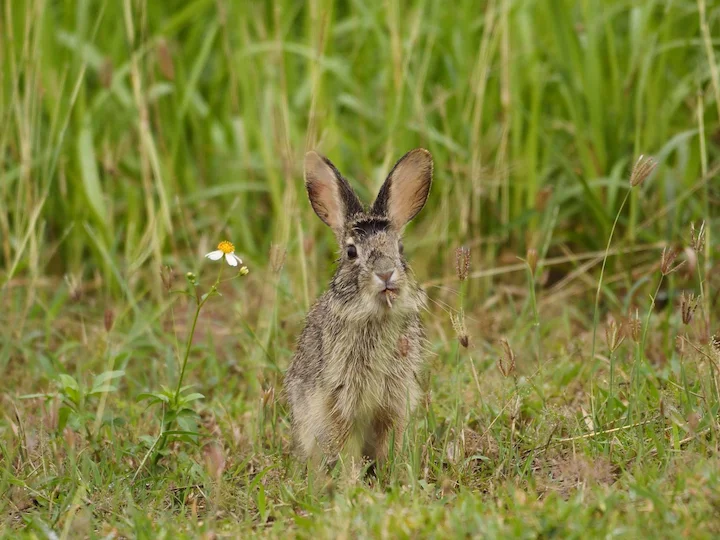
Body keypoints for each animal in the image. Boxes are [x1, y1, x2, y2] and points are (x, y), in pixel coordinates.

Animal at [284, 148, 433, 471]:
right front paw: (351, 480)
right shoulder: (339, 402)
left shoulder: (394, 403)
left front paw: (392, 472)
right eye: (351, 252)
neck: (377, 315)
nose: (386, 273)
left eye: (399, 248)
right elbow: (346, 446)